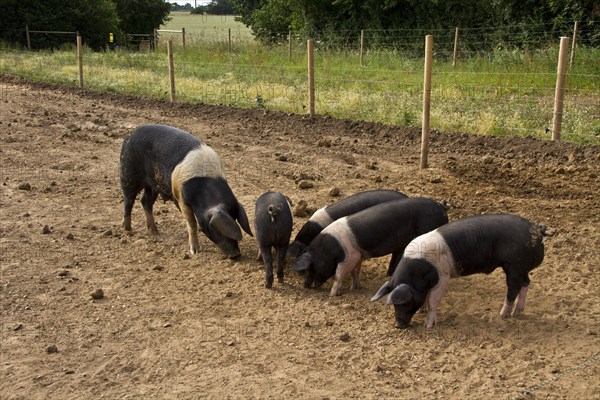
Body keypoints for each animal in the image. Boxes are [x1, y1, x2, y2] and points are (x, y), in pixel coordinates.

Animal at [119, 123, 253, 258]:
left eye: (235, 219)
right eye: (214, 227)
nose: (236, 254)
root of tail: (131, 135)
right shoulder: (181, 198)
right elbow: (192, 223)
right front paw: (195, 252)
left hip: (153, 185)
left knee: (145, 201)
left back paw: (155, 232)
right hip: (128, 174)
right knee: (128, 200)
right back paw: (127, 229)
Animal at [288, 198, 448, 296]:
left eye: (311, 266)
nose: (305, 285)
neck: (330, 247)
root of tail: (441, 207)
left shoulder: (350, 256)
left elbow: (339, 275)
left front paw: (333, 295)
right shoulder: (358, 256)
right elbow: (355, 272)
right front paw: (355, 288)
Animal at [372, 214, 548, 330]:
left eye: (405, 302)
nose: (398, 325)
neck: (418, 270)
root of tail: (537, 231)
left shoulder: (443, 277)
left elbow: (433, 301)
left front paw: (428, 325)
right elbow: (427, 298)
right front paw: (422, 311)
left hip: (514, 264)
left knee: (513, 287)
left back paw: (503, 314)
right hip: (521, 267)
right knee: (526, 283)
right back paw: (517, 313)